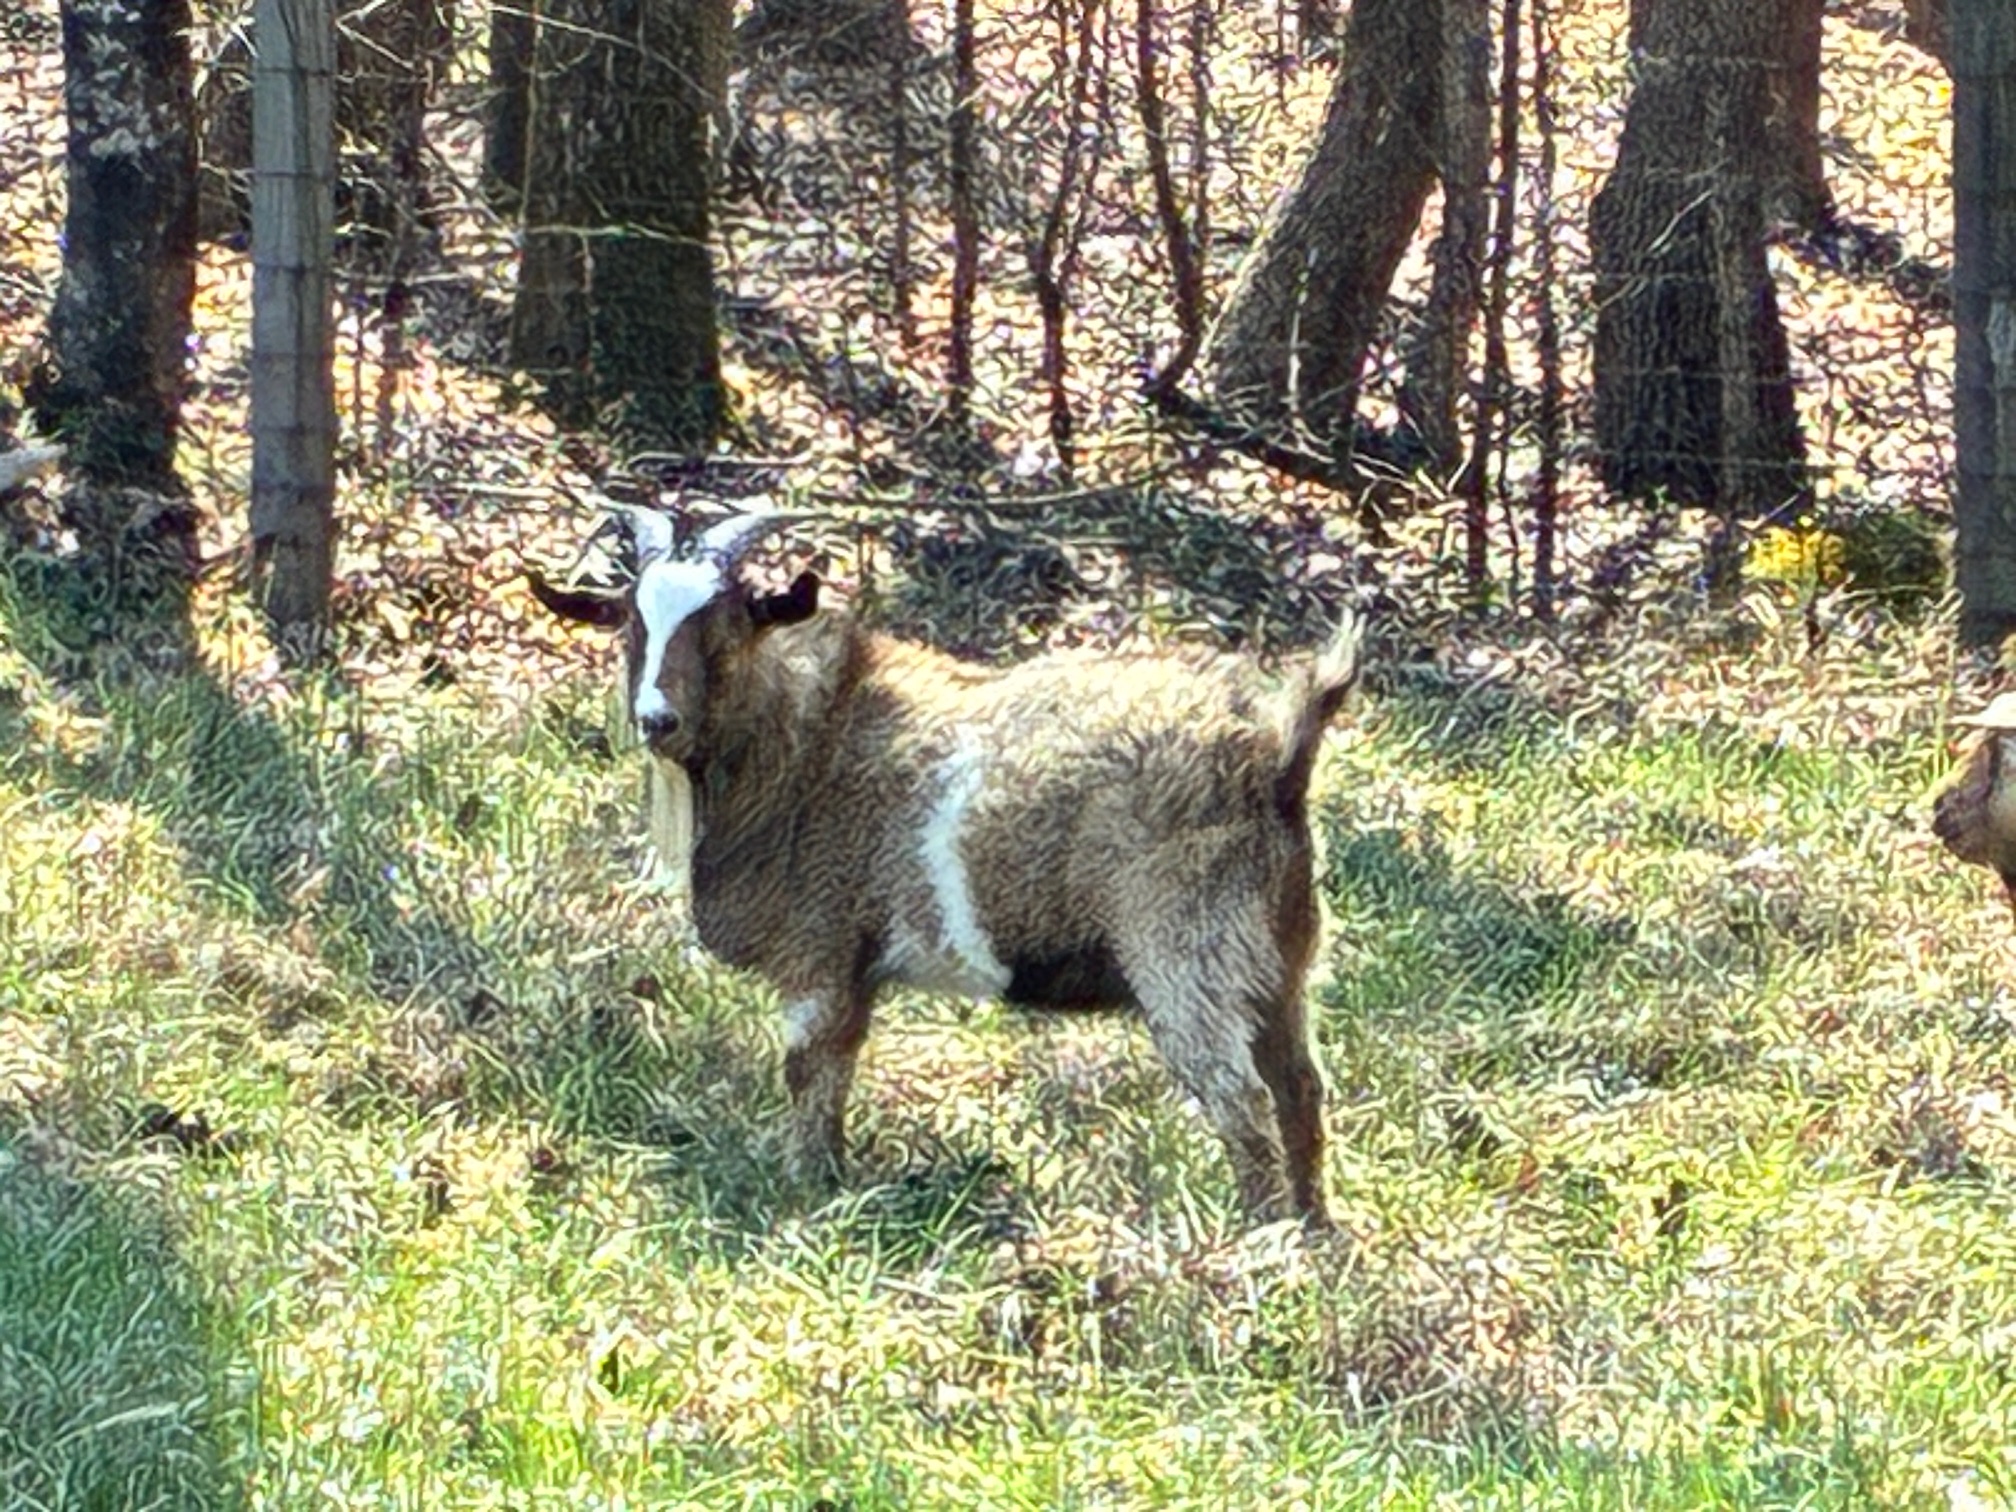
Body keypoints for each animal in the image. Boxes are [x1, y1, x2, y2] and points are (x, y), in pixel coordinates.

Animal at [531, 505, 1361, 1225]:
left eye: (726, 628)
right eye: (632, 622)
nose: (657, 720)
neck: (806, 740)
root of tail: (1275, 748)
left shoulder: (820, 949)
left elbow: (806, 1070)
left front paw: (800, 1192)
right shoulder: (854, 973)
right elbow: (836, 1072)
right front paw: (833, 1182)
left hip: (1188, 954)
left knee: (1241, 1105)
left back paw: (1251, 1253)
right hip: (1279, 958)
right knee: (1301, 1093)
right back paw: (1314, 1238)